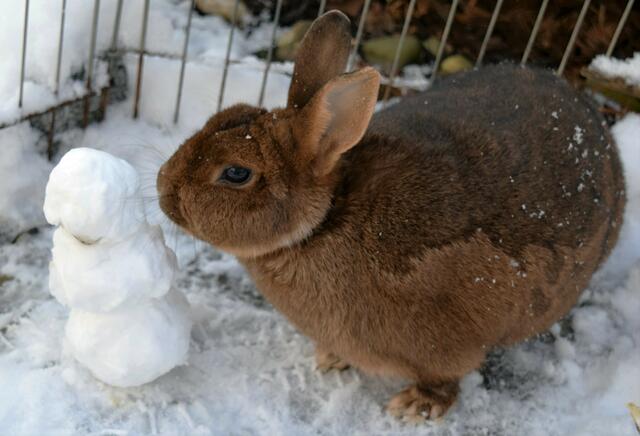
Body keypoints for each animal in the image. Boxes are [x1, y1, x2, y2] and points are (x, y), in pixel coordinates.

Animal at [157, 10, 626, 421]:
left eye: (236, 173)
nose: (163, 189)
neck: (325, 222)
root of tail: (601, 135)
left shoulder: (447, 345)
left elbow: (446, 379)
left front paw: (417, 408)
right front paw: (330, 360)